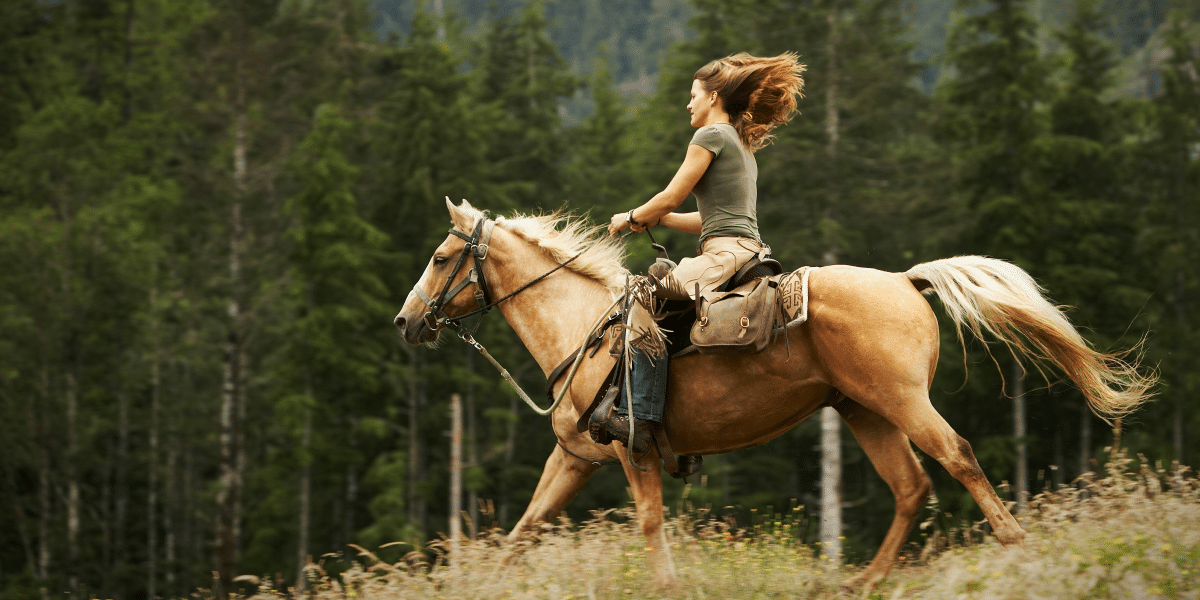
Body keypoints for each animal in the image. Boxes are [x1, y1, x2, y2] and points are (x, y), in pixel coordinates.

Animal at [396, 199, 1152, 588]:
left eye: (439, 257)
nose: (406, 322)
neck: (586, 330)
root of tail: (906, 280)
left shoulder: (634, 454)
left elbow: (650, 525)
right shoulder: (576, 458)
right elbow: (524, 530)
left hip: (905, 403)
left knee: (958, 458)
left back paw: (1018, 549)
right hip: (864, 412)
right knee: (911, 488)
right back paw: (859, 584)